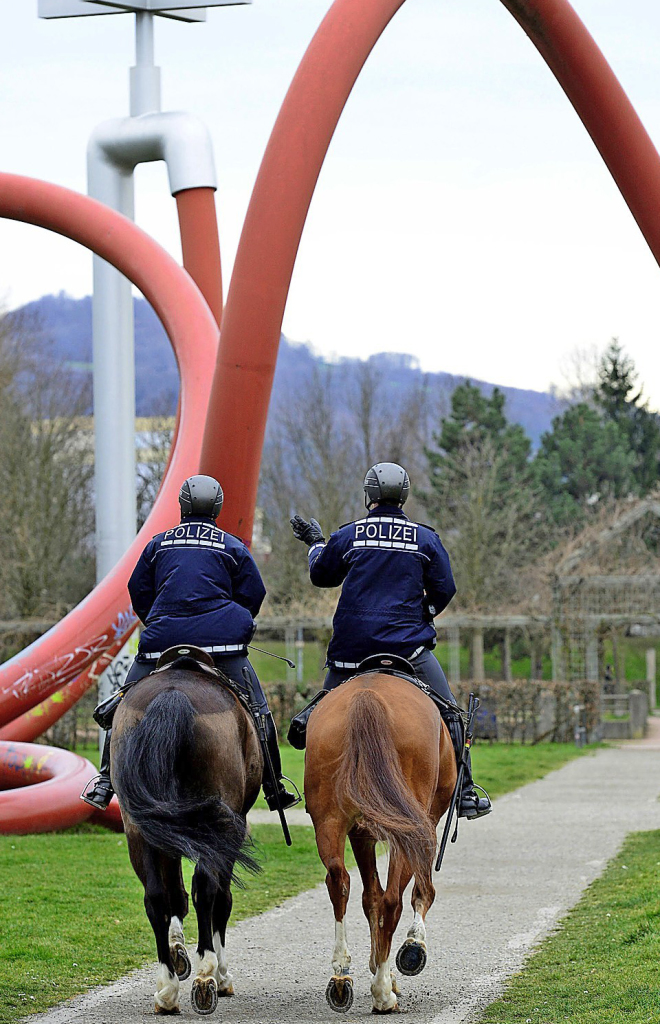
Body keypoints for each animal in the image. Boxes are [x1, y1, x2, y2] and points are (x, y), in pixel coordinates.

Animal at [109, 659, 260, 1019]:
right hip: (217, 826)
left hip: (140, 826)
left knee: (156, 897)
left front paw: (177, 951)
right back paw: (206, 976)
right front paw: (220, 973)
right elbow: (220, 899)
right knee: (206, 890)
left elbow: (174, 896)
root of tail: (173, 694)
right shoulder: (231, 828)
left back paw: (167, 990)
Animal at [304, 671, 456, 1015]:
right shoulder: (425, 824)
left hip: (330, 822)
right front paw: (412, 947)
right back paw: (383, 994)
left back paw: (341, 975)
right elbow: (419, 893)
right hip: (407, 829)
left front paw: (376, 965)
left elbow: (369, 897)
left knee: (339, 882)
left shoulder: (361, 834)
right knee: (392, 900)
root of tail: (367, 697)